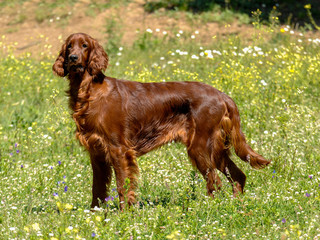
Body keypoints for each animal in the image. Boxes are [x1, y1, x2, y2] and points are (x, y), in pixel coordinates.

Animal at [52, 32, 270, 210]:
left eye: (84, 46)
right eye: (69, 46)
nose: (72, 58)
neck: (89, 91)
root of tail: (222, 95)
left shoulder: (118, 149)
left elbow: (123, 185)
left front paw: (124, 215)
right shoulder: (97, 152)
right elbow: (97, 189)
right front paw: (95, 217)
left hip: (200, 147)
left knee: (215, 182)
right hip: (217, 148)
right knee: (238, 175)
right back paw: (235, 207)